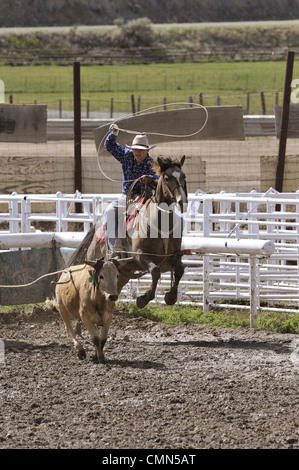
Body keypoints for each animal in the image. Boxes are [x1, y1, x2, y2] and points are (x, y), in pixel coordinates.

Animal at [69, 155, 189, 308]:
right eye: (167, 178)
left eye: (183, 176)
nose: (182, 201)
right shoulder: (140, 255)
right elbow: (155, 271)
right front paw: (143, 299)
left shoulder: (176, 254)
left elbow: (179, 270)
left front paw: (171, 297)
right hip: (96, 263)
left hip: (121, 273)